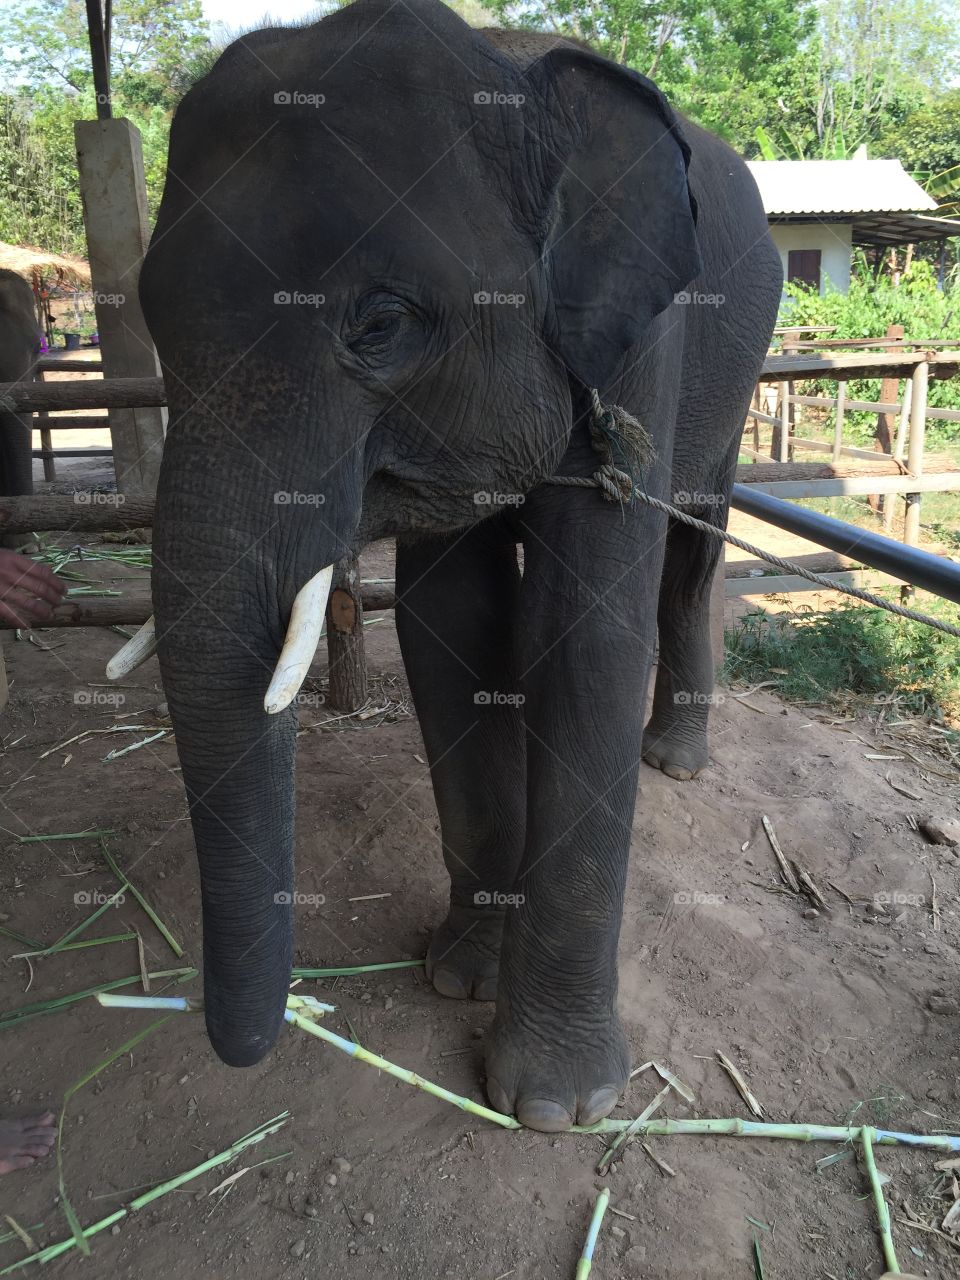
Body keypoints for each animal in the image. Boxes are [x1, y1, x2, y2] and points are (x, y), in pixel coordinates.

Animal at [108, 0, 782, 1132]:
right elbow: (450, 625)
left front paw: (556, 1107)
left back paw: (674, 759)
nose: (246, 1047)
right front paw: (458, 977)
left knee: (693, 548)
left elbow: (586, 628)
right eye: (153, 317)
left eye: (381, 324)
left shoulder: (642, 343)